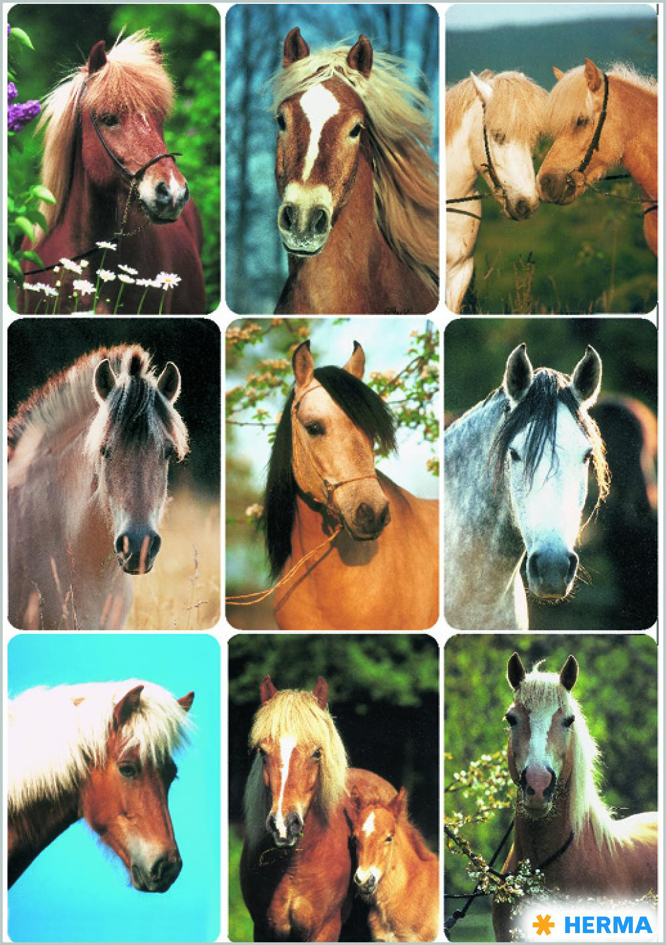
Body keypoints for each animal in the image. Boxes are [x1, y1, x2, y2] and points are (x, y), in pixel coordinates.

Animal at [240, 675, 397, 942]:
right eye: (262, 751)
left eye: (316, 753)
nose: (283, 826)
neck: (292, 868)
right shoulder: (263, 929)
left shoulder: (324, 930)